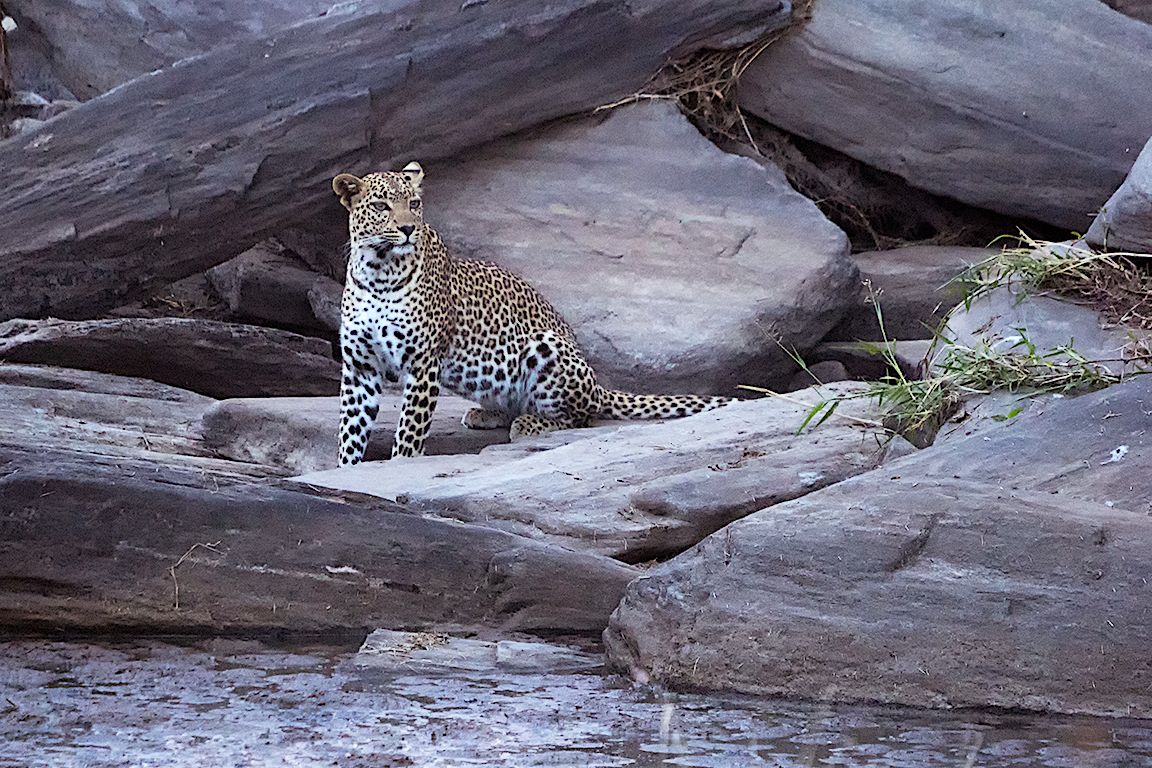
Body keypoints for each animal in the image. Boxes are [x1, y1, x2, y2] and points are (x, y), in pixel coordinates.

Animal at [332, 162, 733, 465]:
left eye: (414, 203)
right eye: (381, 206)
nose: (407, 228)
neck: (379, 272)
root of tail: (598, 387)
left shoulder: (423, 363)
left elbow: (409, 433)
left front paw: (400, 464)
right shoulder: (359, 367)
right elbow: (350, 431)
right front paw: (348, 470)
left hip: (546, 346)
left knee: (580, 418)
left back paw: (530, 424)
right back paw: (486, 413)